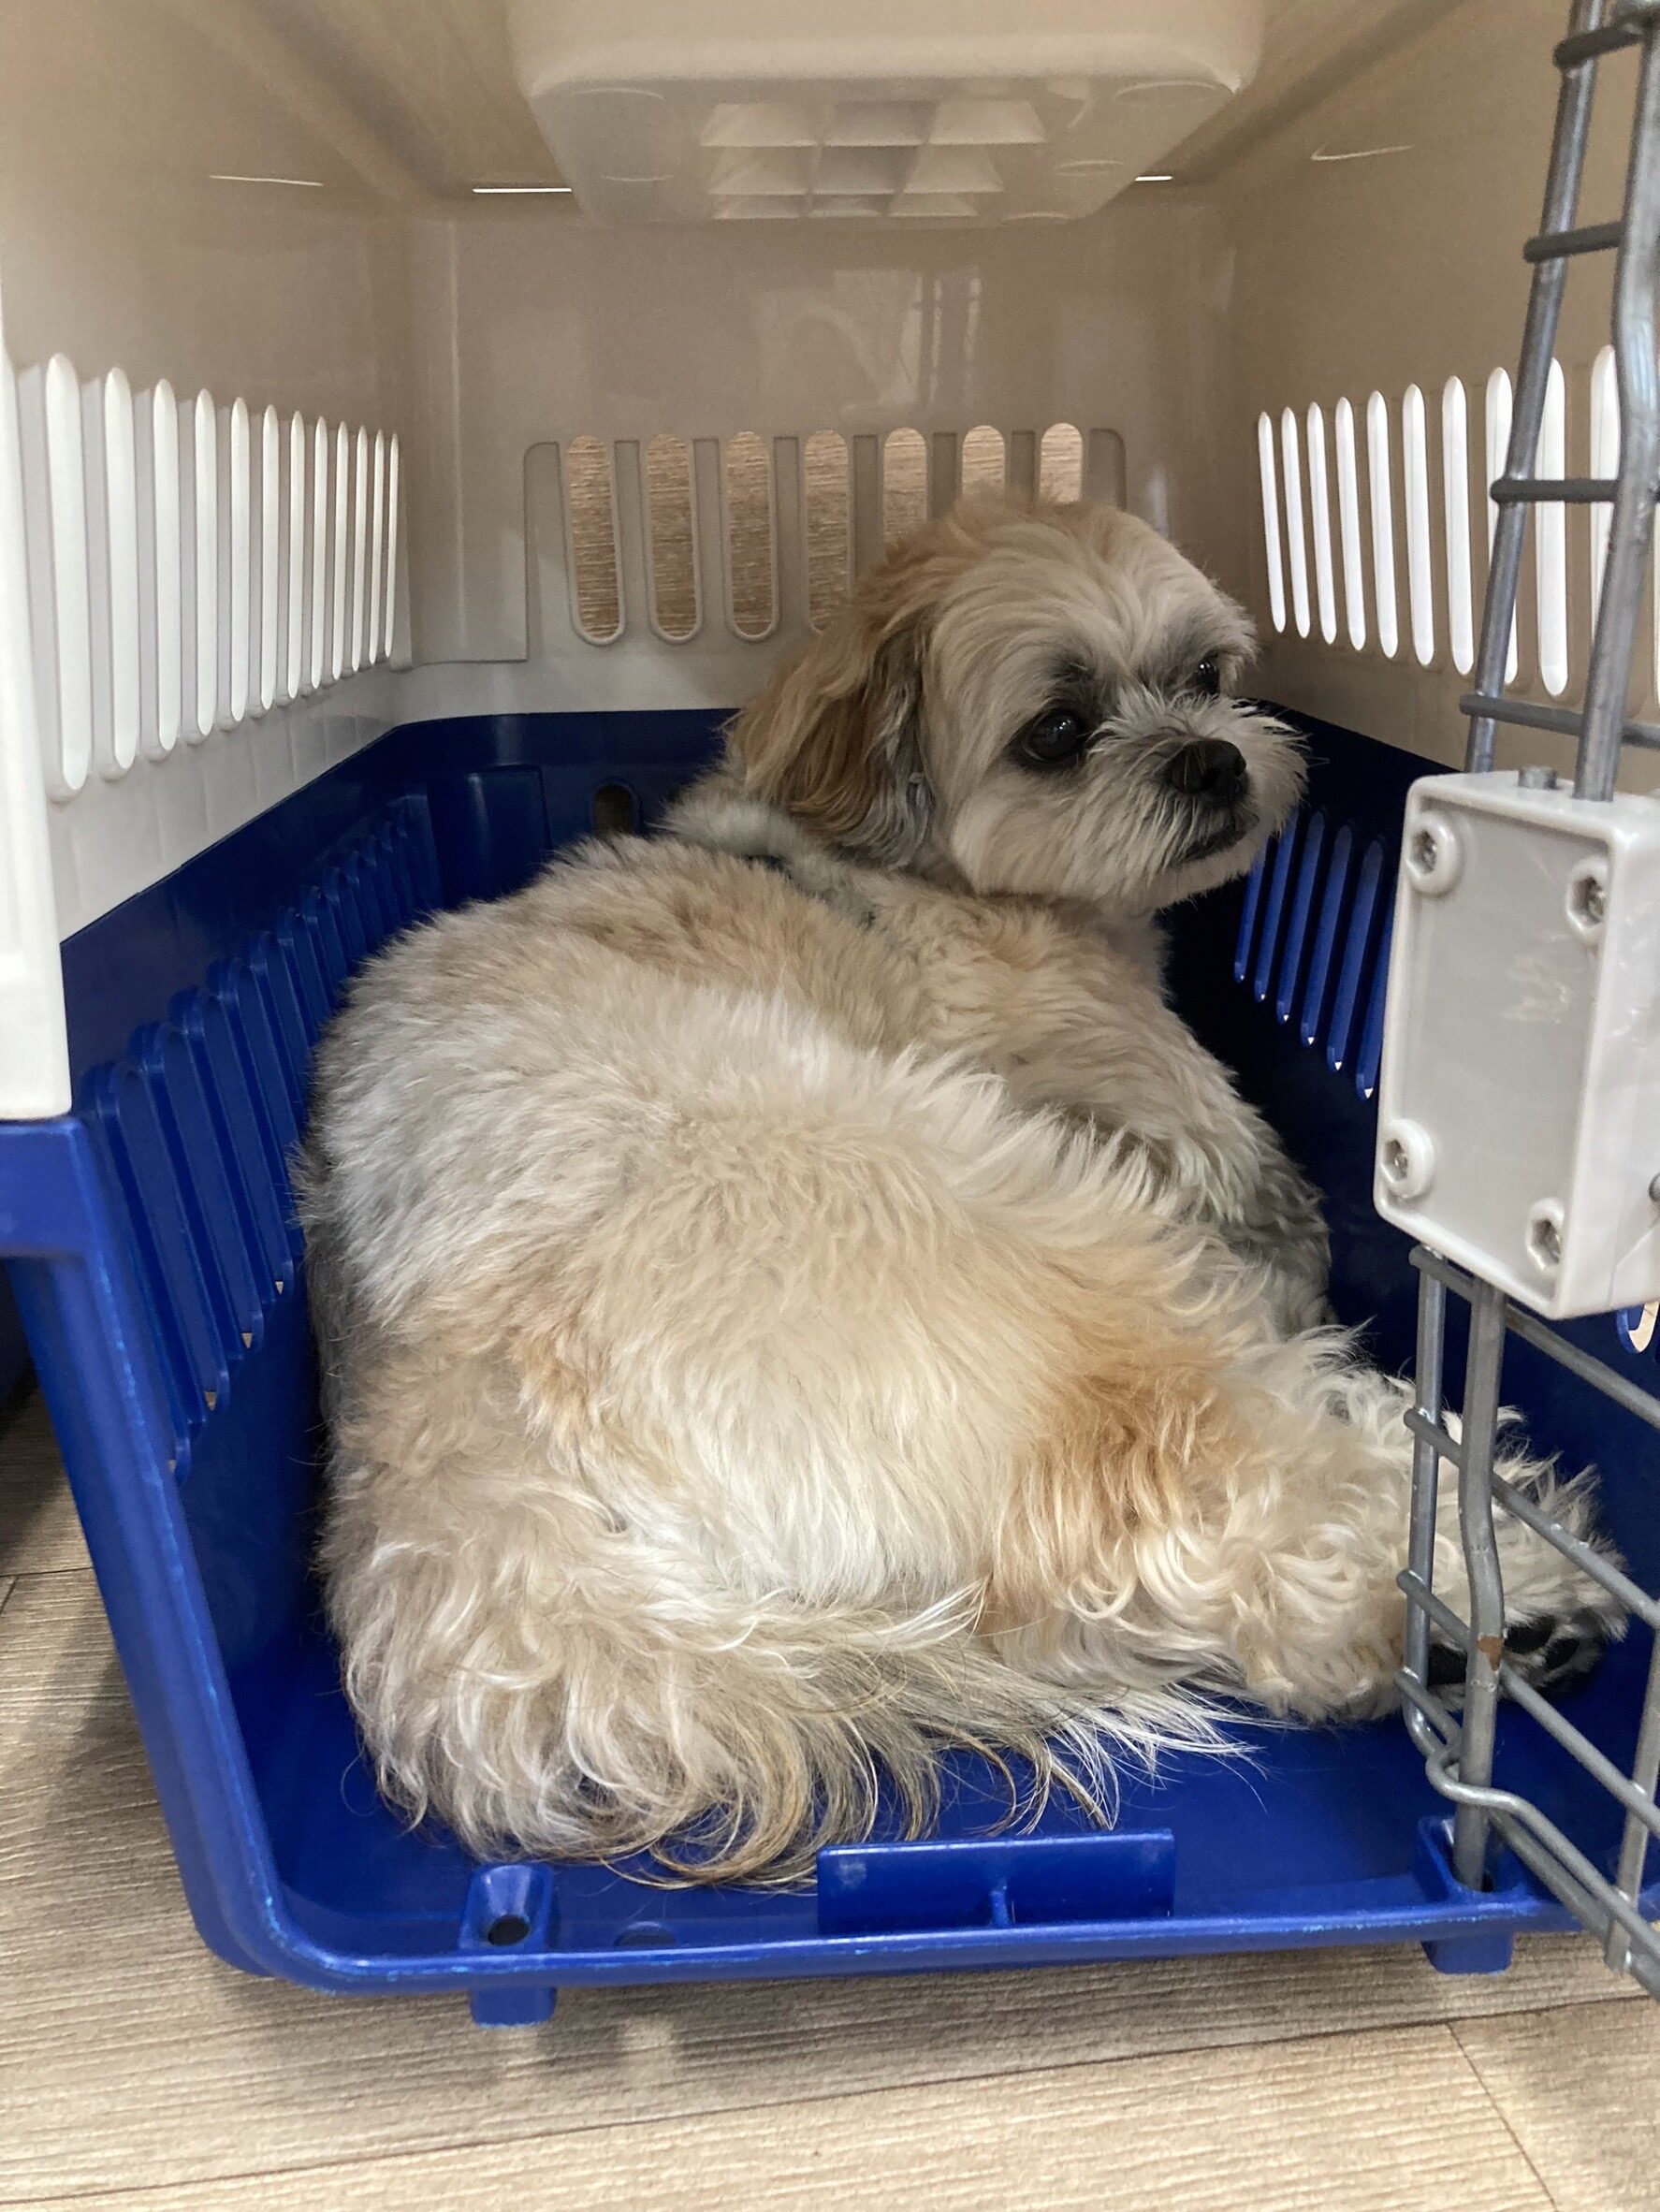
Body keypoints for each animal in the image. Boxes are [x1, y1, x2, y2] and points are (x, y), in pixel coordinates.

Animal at [301, 492, 1621, 1882]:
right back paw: (1496, 1589)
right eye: (1058, 732)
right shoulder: (1163, 1097)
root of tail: (443, 1453)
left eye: (1208, 678)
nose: (1210, 759)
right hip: (1011, 1233)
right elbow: (1277, 1213)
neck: (906, 871)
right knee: (1202, 1483)